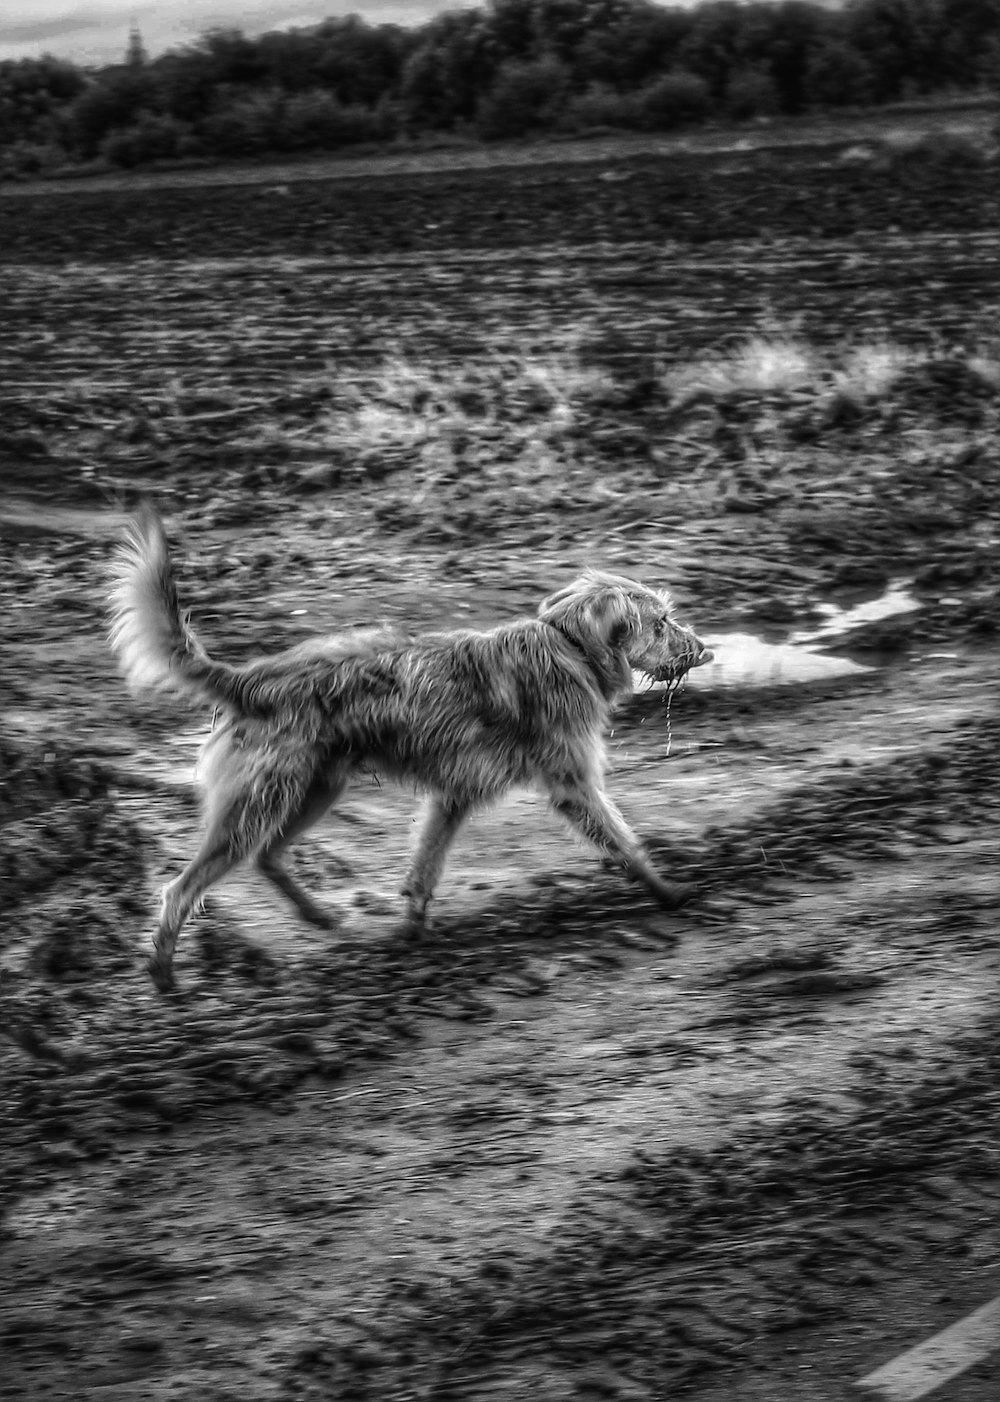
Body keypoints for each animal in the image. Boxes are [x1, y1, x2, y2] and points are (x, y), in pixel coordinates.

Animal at [109, 510, 712, 992]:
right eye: (661, 623)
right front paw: (669, 891)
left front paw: (413, 931)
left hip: (316, 788)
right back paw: (164, 977)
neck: (570, 646)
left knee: (269, 857)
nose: (705, 649)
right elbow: (624, 842)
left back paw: (319, 919)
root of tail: (251, 680)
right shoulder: (572, 785)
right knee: (181, 889)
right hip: (258, 806)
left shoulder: (452, 798)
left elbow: (425, 868)